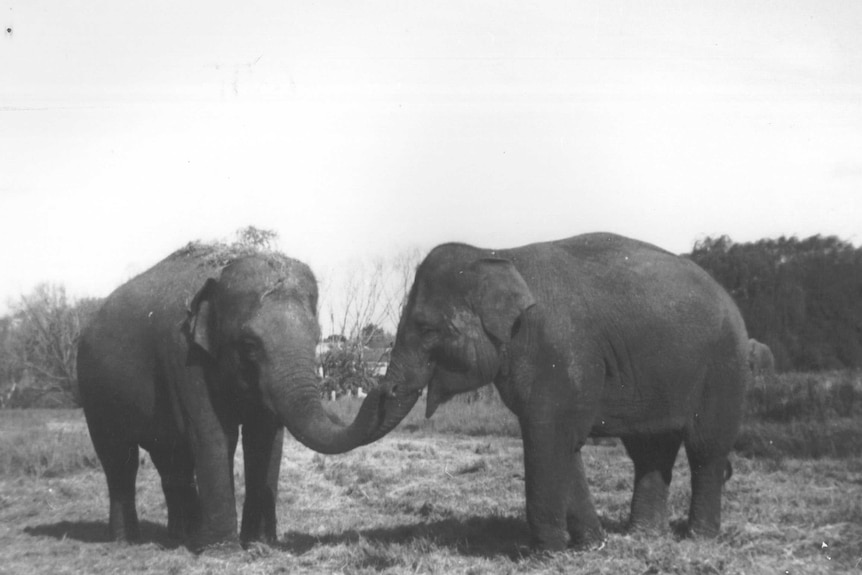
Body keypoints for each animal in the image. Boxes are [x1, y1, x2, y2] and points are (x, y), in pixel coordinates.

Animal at [79, 241, 384, 552]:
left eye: (316, 337)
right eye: (249, 345)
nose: (379, 390)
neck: (220, 273)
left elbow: (263, 437)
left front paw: (258, 542)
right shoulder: (184, 355)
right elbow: (213, 434)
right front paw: (222, 548)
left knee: (171, 459)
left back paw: (183, 537)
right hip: (94, 395)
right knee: (119, 460)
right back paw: (127, 541)